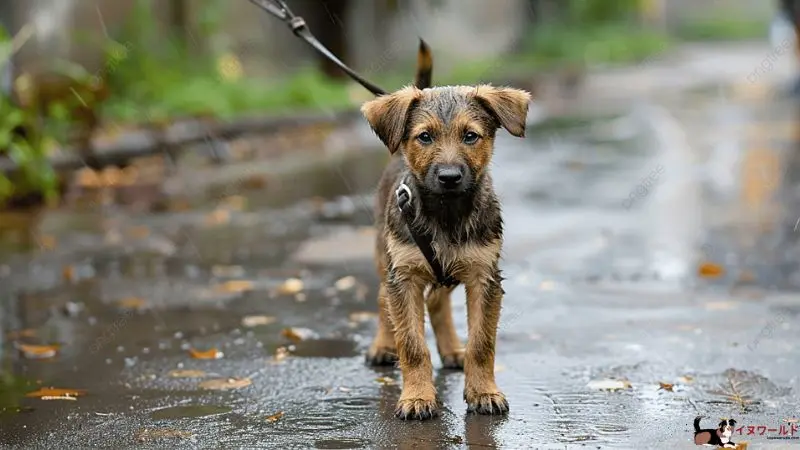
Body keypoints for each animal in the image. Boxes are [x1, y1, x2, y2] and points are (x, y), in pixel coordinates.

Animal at [360, 40, 528, 420]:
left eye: (470, 136)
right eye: (424, 137)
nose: (449, 177)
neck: (446, 212)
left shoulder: (484, 275)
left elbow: (482, 342)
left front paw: (483, 392)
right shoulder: (404, 276)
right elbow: (411, 344)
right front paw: (417, 397)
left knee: (437, 302)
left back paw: (452, 351)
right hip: (383, 254)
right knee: (382, 298)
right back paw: (382, 345)